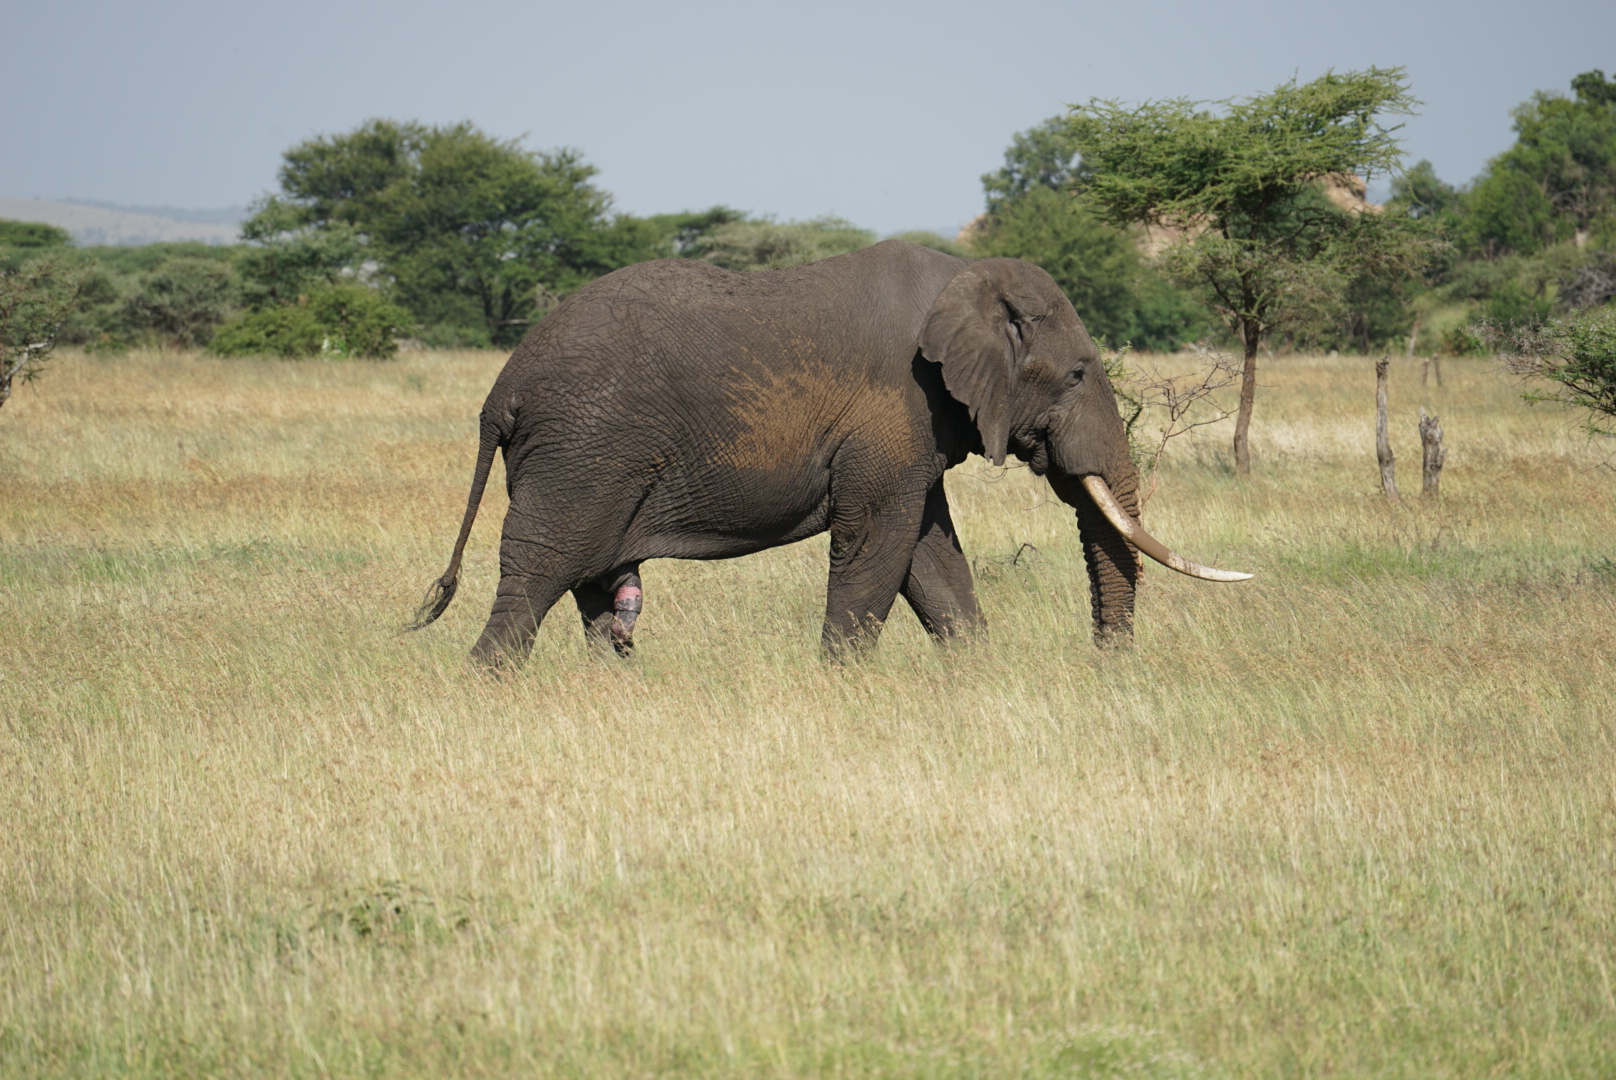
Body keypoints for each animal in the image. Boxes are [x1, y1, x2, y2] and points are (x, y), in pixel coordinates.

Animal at [410, 236, 1241, 662]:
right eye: (1075, 374)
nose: (1108, 664)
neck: (964, 278)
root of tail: (501, 391)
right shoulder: (894, 403)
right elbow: (879, 542)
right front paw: (845, 682)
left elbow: (928, 553)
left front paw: (972, 674)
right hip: (582, 447)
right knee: (540, 573)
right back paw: (492, 681)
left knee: (594, 586)